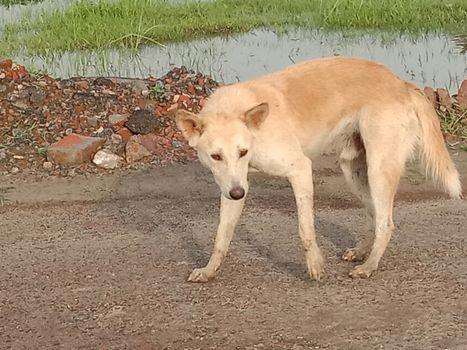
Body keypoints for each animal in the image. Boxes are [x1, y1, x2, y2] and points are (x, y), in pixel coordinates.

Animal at [176, 56, 464, 282]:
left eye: (243, 152)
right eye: (215, 156)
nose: (237, 194)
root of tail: (400, 83)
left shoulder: (300, 170)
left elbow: (305, 229)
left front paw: (314, 264)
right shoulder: (232, 185)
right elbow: (221, 236)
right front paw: (209, 270)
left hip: (379, 170)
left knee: (387, 223)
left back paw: (369, 265)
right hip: (353, 171)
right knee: (374, 215)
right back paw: (362, 251)